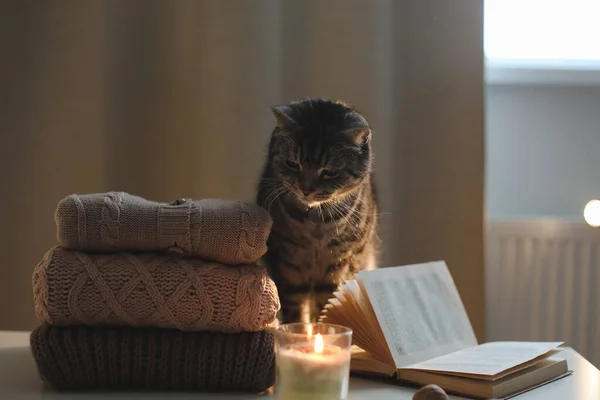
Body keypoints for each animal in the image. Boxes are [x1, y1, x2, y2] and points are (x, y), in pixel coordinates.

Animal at [254, 97, 378, 324]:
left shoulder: (337, 265)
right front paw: (298, 330)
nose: (306, 189)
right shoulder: (287, 265)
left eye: (329, 172)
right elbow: (295, 309)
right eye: (292, 164)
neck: (315, 226)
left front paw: (323, 328)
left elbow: (326, 305)